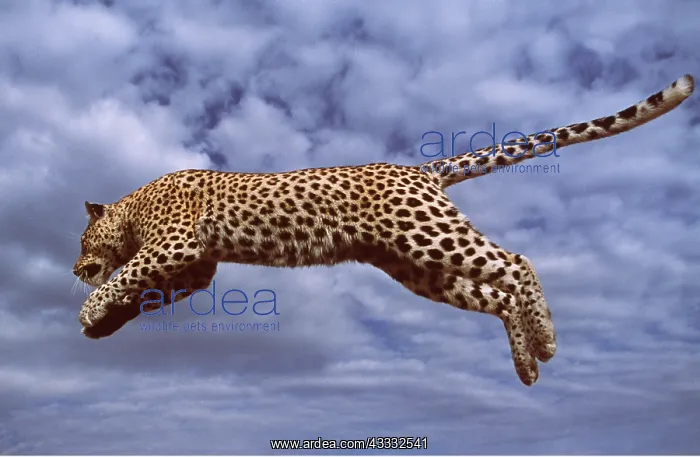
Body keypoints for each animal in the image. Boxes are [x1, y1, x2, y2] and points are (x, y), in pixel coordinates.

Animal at [73, 74, 694, 386]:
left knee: (517, 263)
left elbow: (125, 274)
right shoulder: (195, 268)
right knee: (496, 293)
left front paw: (89, 307)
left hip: (426, 234)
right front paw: (104, 324)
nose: (76, 267)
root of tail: (420, 169)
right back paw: (526, 364)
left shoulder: (177, 243)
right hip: (414, 266)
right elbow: (142, 290)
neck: (132, 206)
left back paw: (545, 341)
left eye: (80, 242)